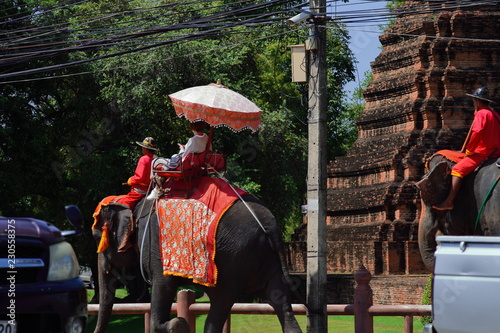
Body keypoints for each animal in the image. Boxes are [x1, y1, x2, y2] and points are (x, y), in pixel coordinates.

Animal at [91, 192, 300, 332]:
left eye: (96, 236)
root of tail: (270, 225)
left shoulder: (154, 244)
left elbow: (163, 286)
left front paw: (178, 324)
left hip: (232, 262)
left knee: (219, 307)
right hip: (267, 259)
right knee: (280, 301)